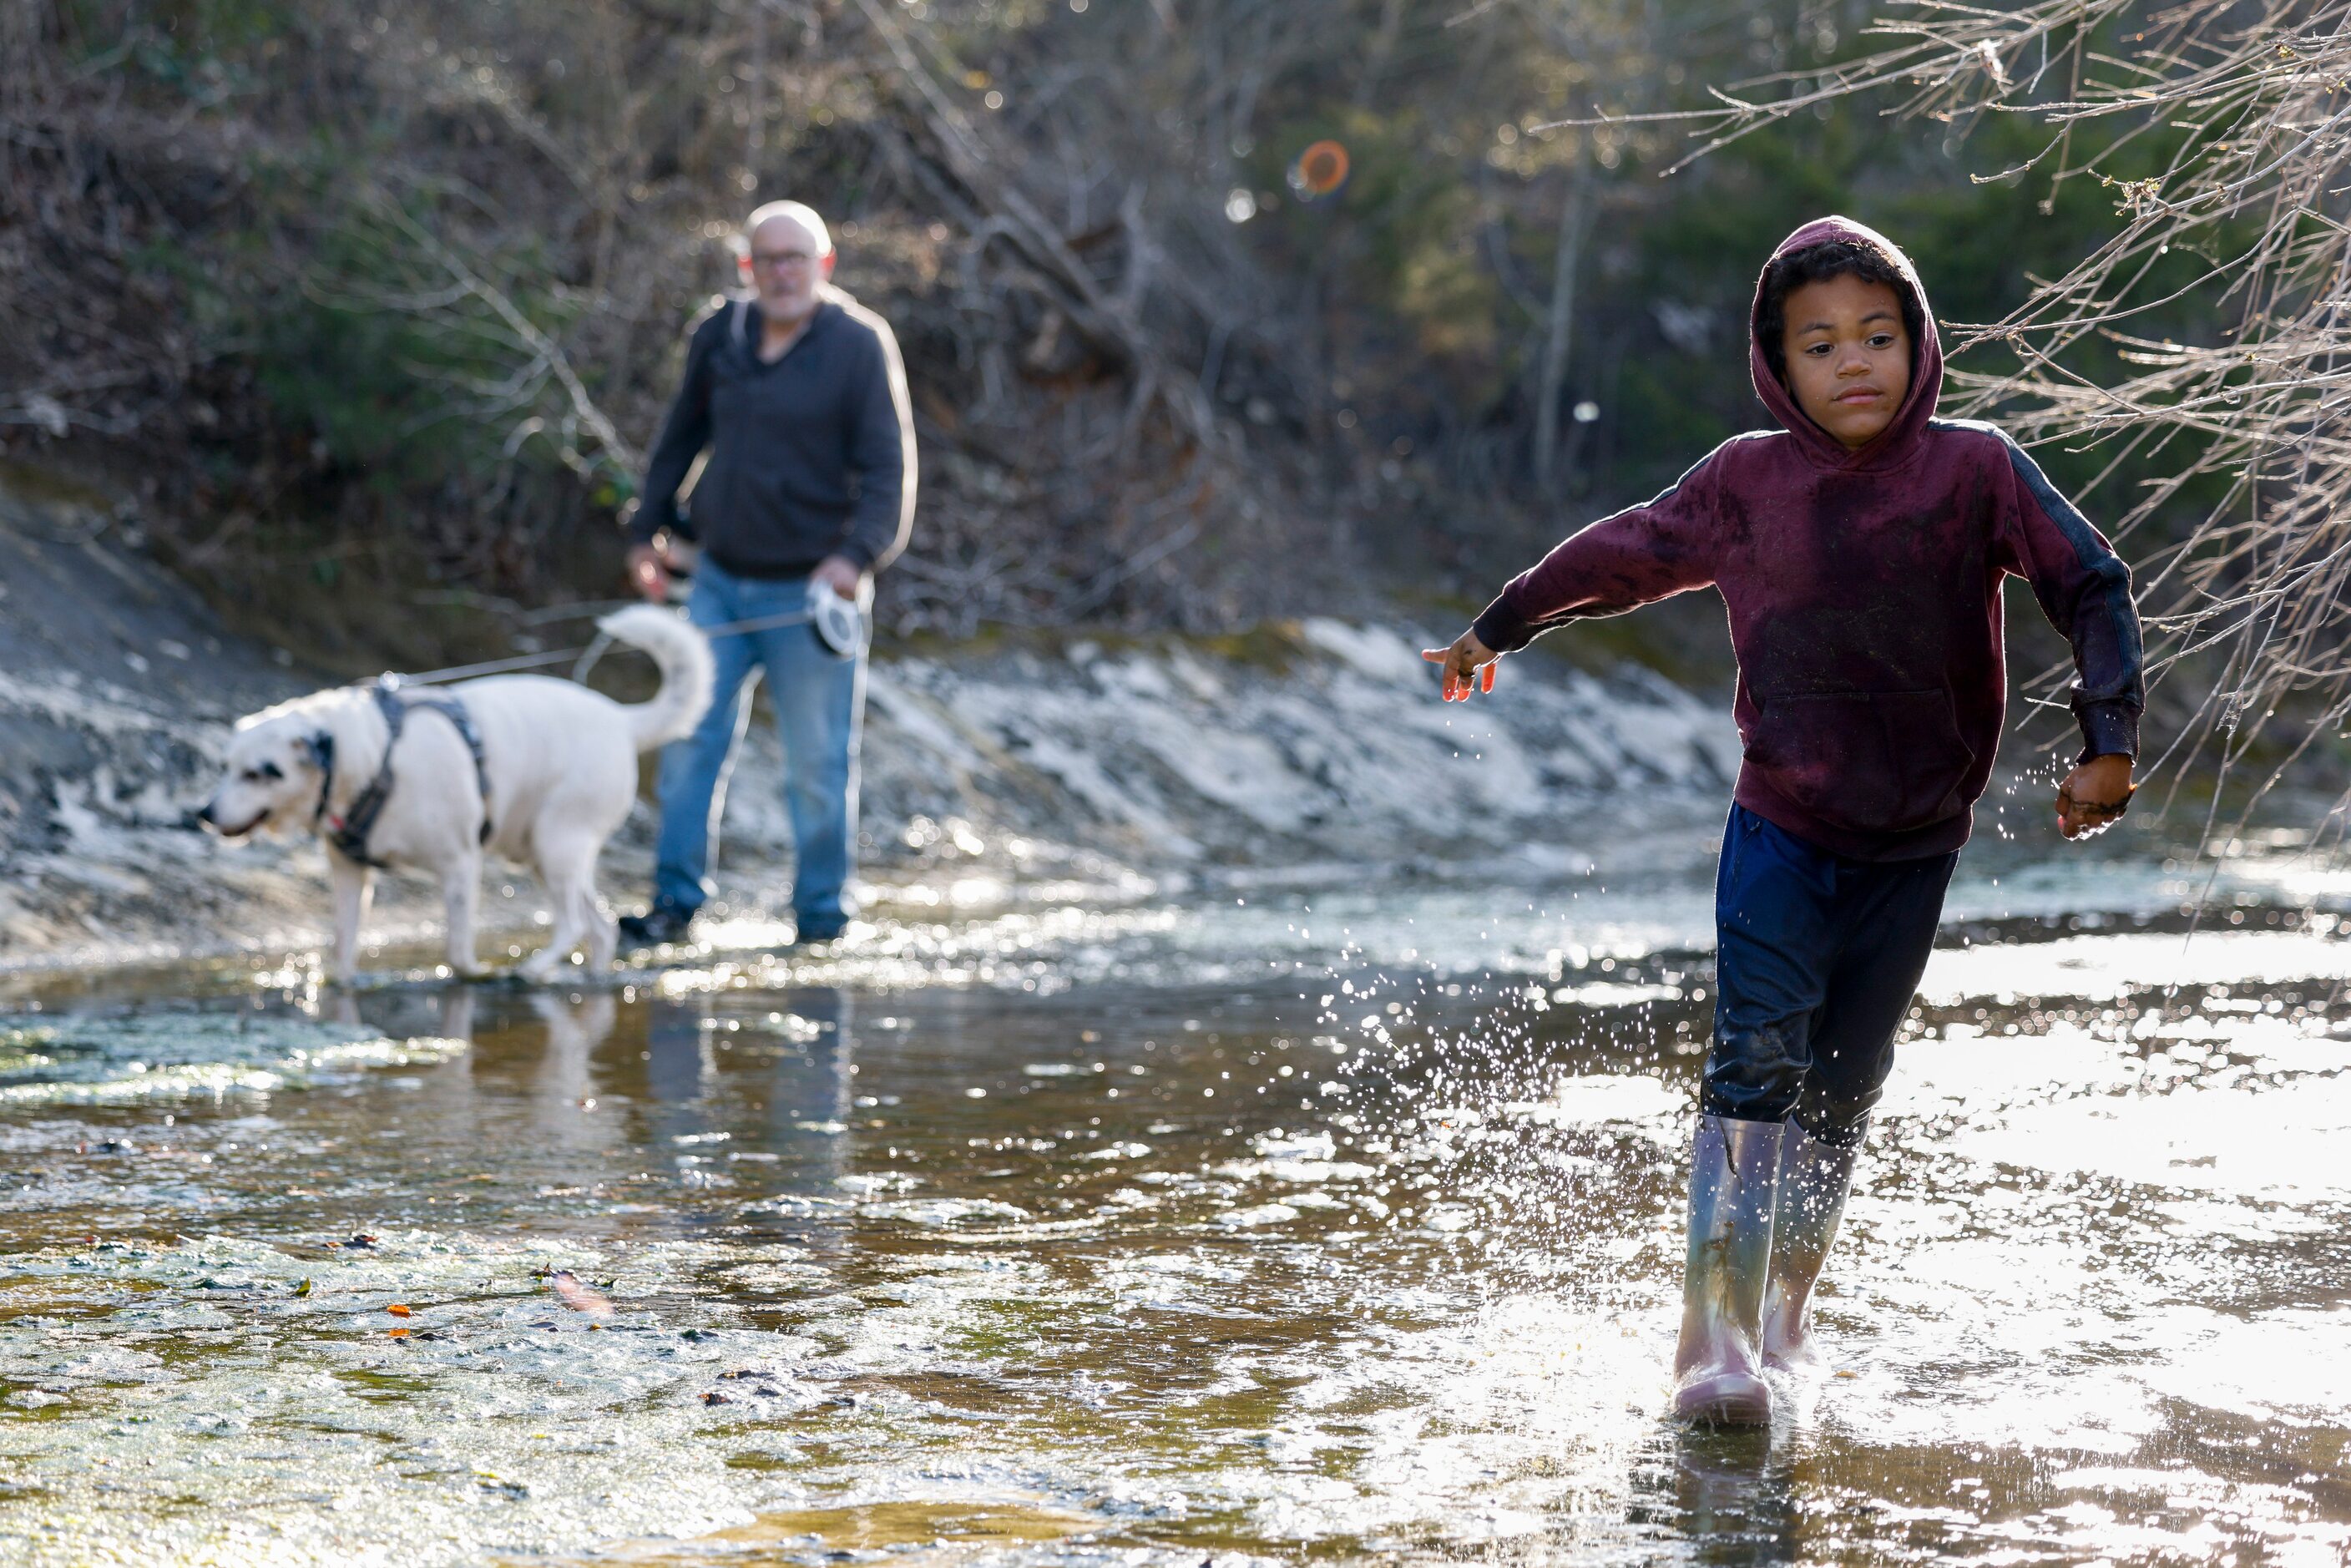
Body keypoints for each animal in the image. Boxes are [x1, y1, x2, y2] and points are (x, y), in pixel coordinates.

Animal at [200, 606, 715, 982]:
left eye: (260, 773)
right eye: (225, 768)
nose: (204, 813)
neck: (374, 757)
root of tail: (622, 719)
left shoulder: (461, 865)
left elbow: (457, 947)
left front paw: (472, 975)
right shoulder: (349, 874)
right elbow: (343, 946)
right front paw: (340, 985)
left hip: (557, 844)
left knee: (571, 924)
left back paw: (531, 972)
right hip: (541, 853)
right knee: (601, 929)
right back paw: (592, 981)